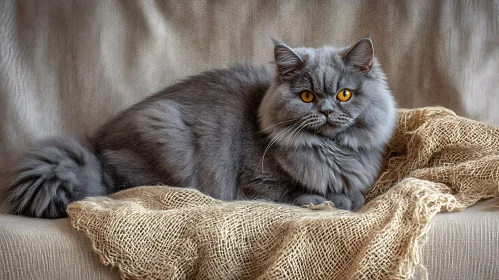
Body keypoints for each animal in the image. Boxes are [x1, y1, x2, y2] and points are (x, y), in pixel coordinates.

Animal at [6, 36, 394, 219]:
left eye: (344, 94)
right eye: (307, 96)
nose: (327, 111)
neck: (329, 150)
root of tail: (95, 144)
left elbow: (359, 194)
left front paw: (350, 197)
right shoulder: (258, 184)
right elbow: (304, 194)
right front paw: (332, 200)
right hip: (165, 132)